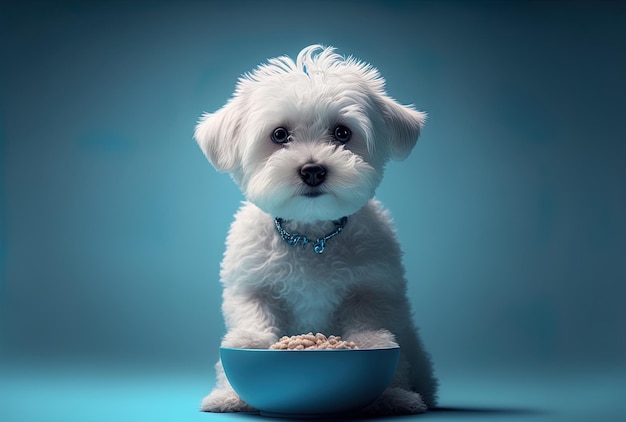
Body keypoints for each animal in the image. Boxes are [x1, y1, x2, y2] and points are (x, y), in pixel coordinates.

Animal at [194, 44, 434, 414]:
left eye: (342, 133)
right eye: (279, 134)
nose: (312, 170)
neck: (310, 237)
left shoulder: (372, 290)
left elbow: (372, 332)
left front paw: (393, 394)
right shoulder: (253, 286)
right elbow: (252, 323)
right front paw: (230, 392)